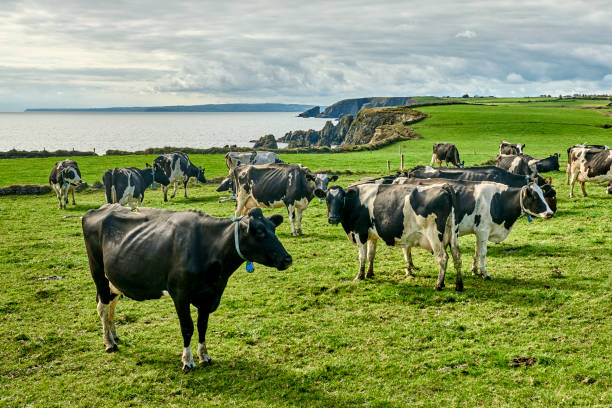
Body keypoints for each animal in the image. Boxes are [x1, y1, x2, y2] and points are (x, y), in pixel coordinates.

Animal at [83, 204, 292, 372]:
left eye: (273, 229)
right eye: (260, 232)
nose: (287, 259)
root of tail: (99, 209)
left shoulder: (209, 295)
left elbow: (202, 326)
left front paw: (204, 356)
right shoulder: (180, 293)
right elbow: (187, 327)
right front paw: (187, 361)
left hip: (115, 280)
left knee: (110, 306)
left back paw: (114, 335)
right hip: (98, 273)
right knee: (103, 308)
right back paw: (109, 342)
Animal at [314, 183, 462, 292]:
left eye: (341, 199)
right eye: (327, 200)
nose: (333, 218)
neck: (355, 202)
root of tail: (443, 186)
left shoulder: (360, 233)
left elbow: (362, 257)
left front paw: (360, 276)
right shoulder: (372, 236)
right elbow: (371, 255)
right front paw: (370, 274)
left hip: (434, 236)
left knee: (442, 258)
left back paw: (439, 284)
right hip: (452, 235)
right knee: (457, 256)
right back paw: (458, 285)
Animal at [392, 178, 556, 280]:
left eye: (543, 195)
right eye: (535, 197)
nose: (550, 213)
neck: (498, 200)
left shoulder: (479, 232)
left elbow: (477, 251)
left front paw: (475, 271)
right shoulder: (483, 230)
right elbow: (482, 253)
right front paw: (485, 274)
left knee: (406, 247)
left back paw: (410, 267)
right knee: (405, 247)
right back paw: (409, 268)